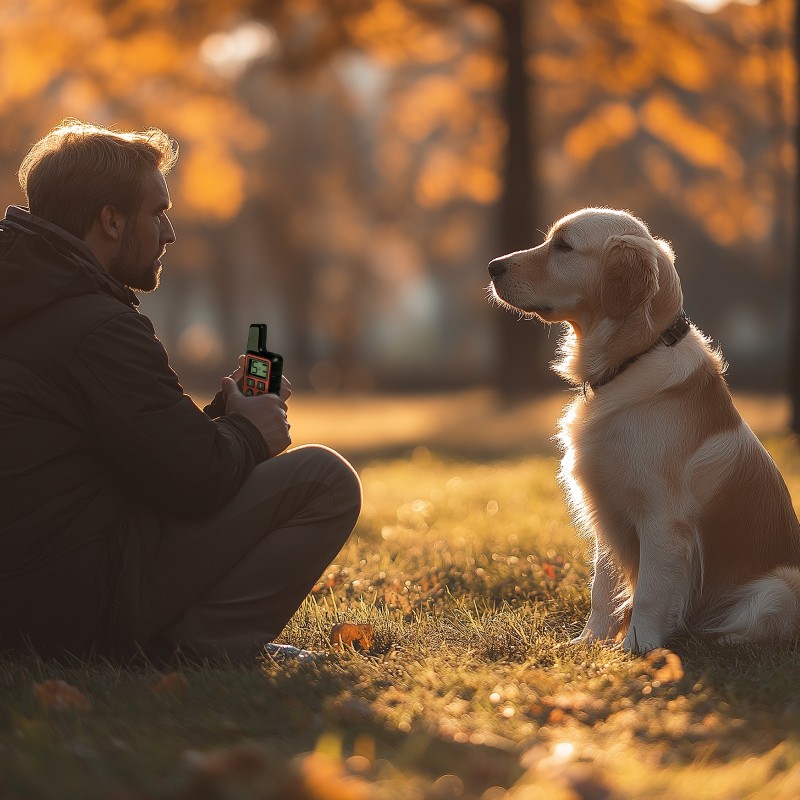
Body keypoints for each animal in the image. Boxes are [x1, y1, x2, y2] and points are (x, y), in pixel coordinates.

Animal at [488, 206, 800, 648]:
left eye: (564, 246)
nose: (491, 266)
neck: (632, 359)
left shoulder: (662, 518)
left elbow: (651, 591)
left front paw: (637, 647)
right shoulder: (606, 510)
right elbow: (602, 588)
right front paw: (590, 643)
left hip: (779, 588)